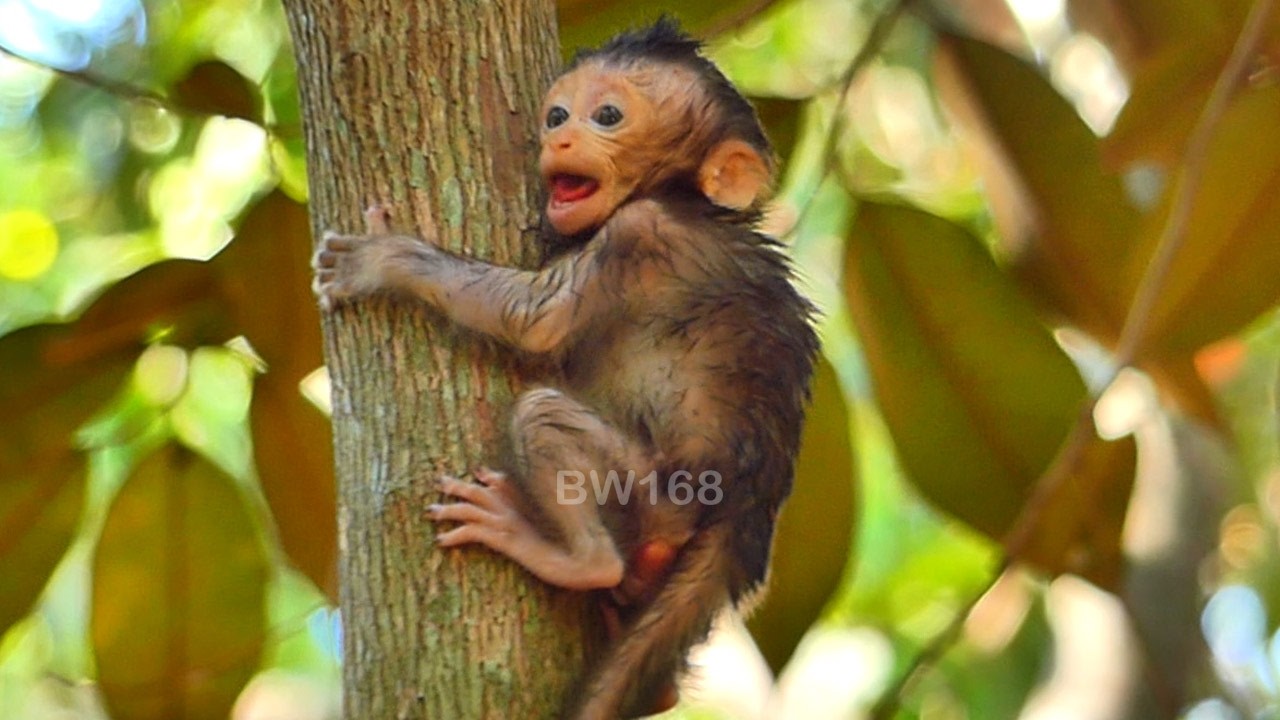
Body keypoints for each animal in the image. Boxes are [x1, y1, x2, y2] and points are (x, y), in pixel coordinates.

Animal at [312, 19, 817, 720]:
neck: (683, 197)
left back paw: (574, 559)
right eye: (557, 113)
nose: (559, 135)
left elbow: (535, 320)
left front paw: (385, 261)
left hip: (657, 497)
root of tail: (752, 502)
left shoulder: (640, 232)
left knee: (543, 415)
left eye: (607, 116)